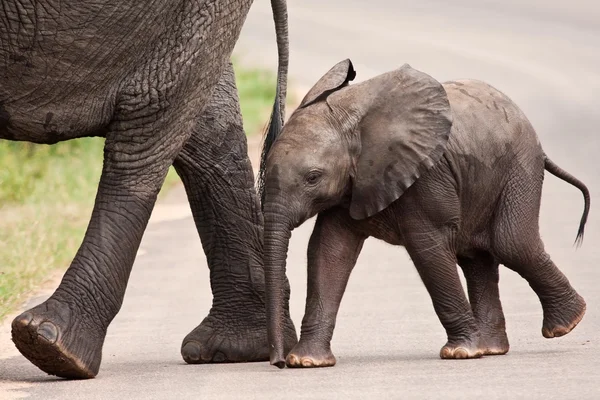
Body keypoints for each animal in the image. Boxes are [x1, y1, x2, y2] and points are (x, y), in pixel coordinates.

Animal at [258, 58, 592, 368]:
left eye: (312, 178)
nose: (278, 361)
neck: (350, 119)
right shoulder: (353, 184)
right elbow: (329, 250)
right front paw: (307, 361)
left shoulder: (427, 173)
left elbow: (426, 246)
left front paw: (460, 353)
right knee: (477, 256)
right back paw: (493, 347)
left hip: (519, 165)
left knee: (511, 243)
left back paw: (566, 324)